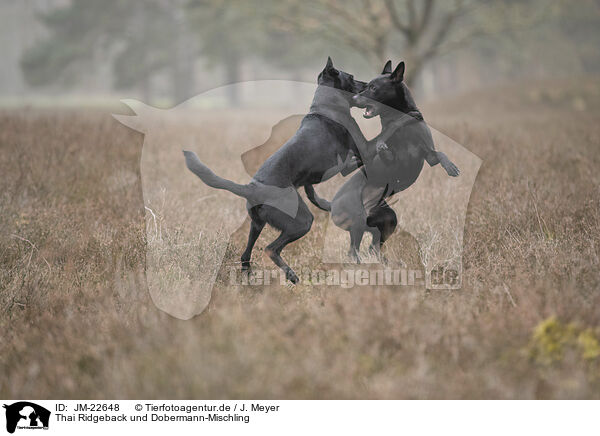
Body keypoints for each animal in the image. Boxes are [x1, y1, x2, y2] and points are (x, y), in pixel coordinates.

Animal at [184, 57, 366, 282]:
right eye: (351, 77)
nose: (367, 85)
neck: (327, 105)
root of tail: (252, 188)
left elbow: (315, 191)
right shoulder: (362, 150)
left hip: (257, 224)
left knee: (246, 254)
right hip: (301, 221)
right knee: (271, 249)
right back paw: (292, 276)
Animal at [328, 59, 460, 260]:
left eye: (373, 87)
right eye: (367, 85)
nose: (354, 99)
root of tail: (331, 206)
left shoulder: (428, 155)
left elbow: (439, 154)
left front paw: (451, 167)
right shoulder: (389, 158)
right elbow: (386, 152)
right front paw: (383, 146)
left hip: (388, 219)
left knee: (373, 246)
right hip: (357, 222)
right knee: (353, 250)